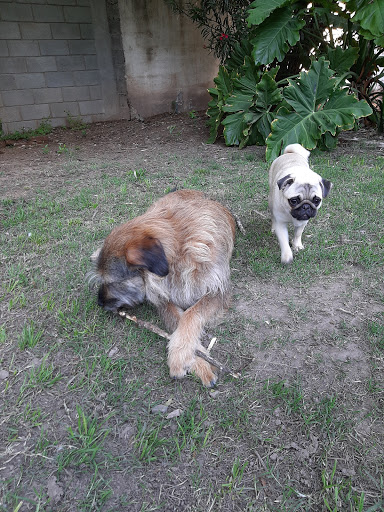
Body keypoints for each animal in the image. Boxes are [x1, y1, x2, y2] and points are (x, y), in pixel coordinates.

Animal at [90, 190, 236, 386]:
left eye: (113, 282)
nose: (99, 302)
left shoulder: (218, 291)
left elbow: (191, 314)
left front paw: (180, 356)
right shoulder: (163, 299)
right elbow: (177, 320)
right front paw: (199, 361)